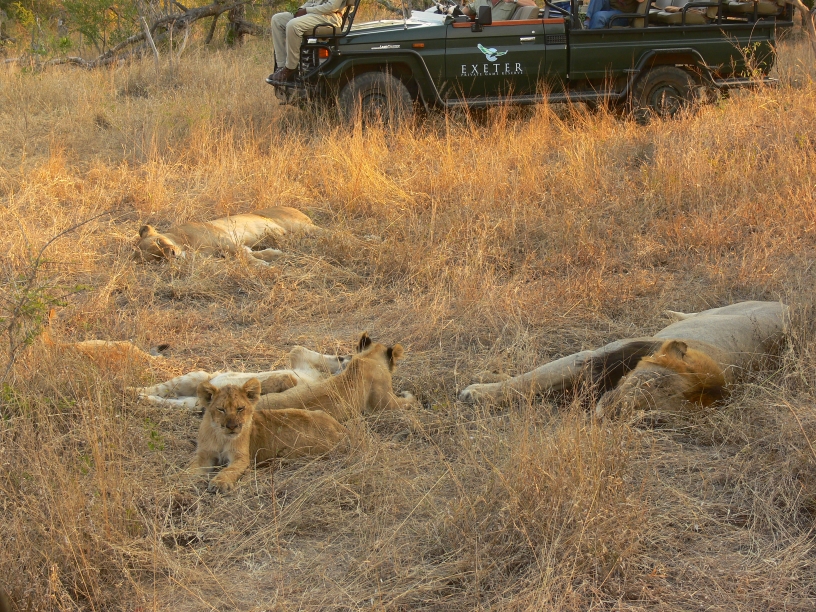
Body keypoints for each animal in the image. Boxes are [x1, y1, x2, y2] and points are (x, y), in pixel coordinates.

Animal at [131, 345, 351, 411]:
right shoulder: (299, 363)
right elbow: (298, 350)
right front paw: (344, 358)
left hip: (194, 402)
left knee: (171, 401)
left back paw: (142, 398)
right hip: (197, 376)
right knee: (161, 388)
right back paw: (132, 391)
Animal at [134, 206, 316, 266]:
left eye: (159, 242)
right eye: (157, 258)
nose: (172, 254)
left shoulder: (226, 240)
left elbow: (246, 256)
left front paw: (262, 264)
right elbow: (252, 253)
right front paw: (274, 256)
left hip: (301, 225)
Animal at [189, 378, 348, 493]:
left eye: (240, 408)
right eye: (221, 409)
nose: (232, 426)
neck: (221, 437)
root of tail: (341, 429)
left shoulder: (241, 457)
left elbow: (229, 470)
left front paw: (219, 483)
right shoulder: (204, 454)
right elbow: (191, 468)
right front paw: (184, 478)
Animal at [458, 301, 788, 419]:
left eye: (653, 413)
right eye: (649, 383)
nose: (612, 415)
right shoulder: (590, 357)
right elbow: (530, 380)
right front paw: (476, 392)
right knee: (693, 313)